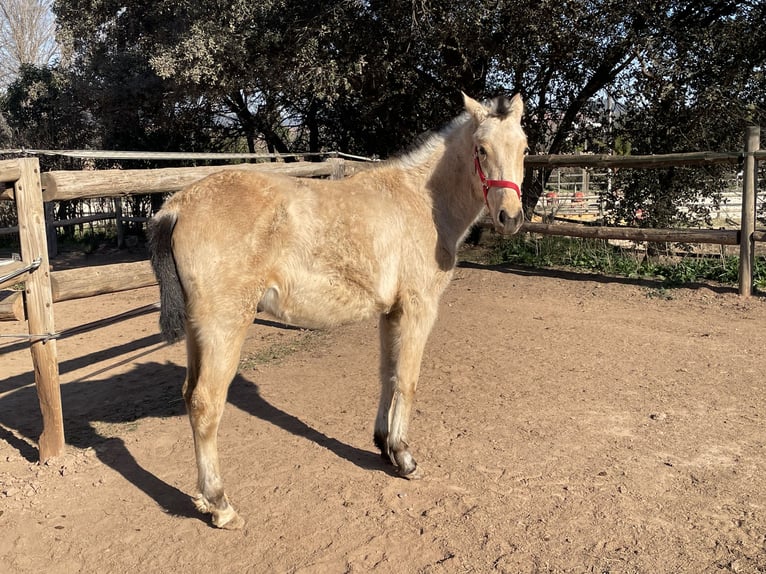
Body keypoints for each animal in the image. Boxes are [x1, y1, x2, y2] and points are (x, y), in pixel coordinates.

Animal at [153, 94, 532, 532]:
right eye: (481, 149)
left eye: (524, 149)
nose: (510, 218)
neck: (420, 202)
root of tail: (176, 206)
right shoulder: (419, 307)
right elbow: (408, 380)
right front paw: (405, 458)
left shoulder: (391, 312)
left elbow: (388, 375)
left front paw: (384, 446)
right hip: (225, 325)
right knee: (206, 403)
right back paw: (220, 505)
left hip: (198, 331)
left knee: (189, 396)